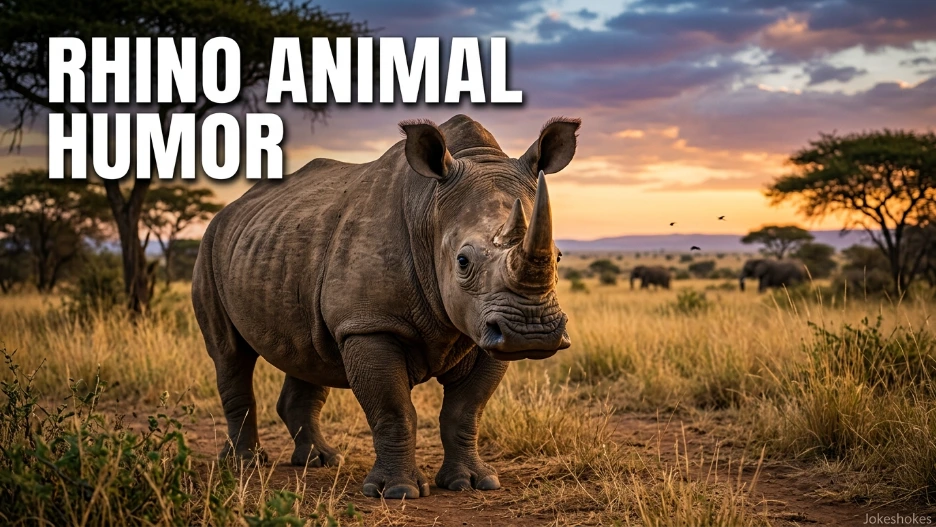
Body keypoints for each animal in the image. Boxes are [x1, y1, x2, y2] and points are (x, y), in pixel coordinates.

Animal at [192, 114, 578, 500]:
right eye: (463, 261)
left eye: (559, 256)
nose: (531, 332)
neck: (429, 209)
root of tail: (228, 211)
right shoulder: (369, 324)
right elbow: (394, 410)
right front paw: (398, 492)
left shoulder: (484, 330)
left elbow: (466, 409)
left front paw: (473, 483)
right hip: (210, 247)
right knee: (229, 353)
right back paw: (245, 463)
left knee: (307, 351)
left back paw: (321, 461)